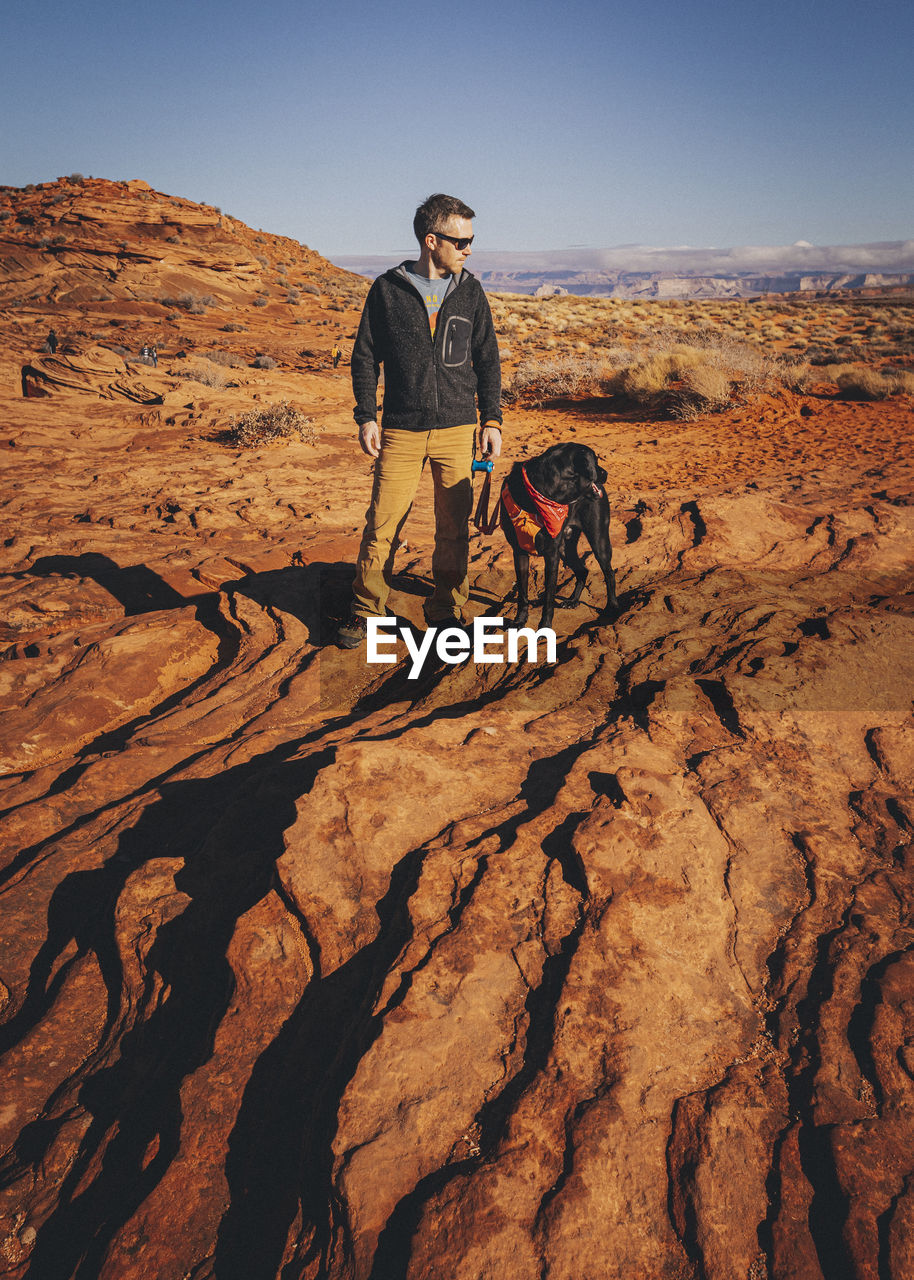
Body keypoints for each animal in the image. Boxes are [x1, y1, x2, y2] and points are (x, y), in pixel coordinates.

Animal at [494, 442, 617, 632]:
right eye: (595, 461)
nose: (605, 473)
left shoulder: (552, 554)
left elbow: (549, 596)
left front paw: (544, 626)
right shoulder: (519, 551)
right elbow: (522, 592)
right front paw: (519, 620)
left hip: (598, 540)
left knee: (609, 573)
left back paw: (612, 607)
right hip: (566, 547)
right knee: (583, 570)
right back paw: (573, 600)